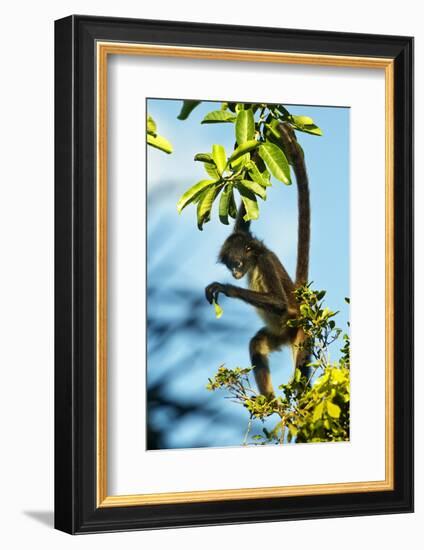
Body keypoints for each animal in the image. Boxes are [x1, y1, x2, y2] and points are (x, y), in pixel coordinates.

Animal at [205, 123, 312, 398]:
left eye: (237, 265)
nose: (234, 275)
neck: (255, 259)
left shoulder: (264, 261)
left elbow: (278, 302)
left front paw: (225, 288)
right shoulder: (241, 234)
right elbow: (244, 217)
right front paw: (253, 145)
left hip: (300, 333)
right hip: (278, 335)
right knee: (256, 345)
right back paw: (271, 402)